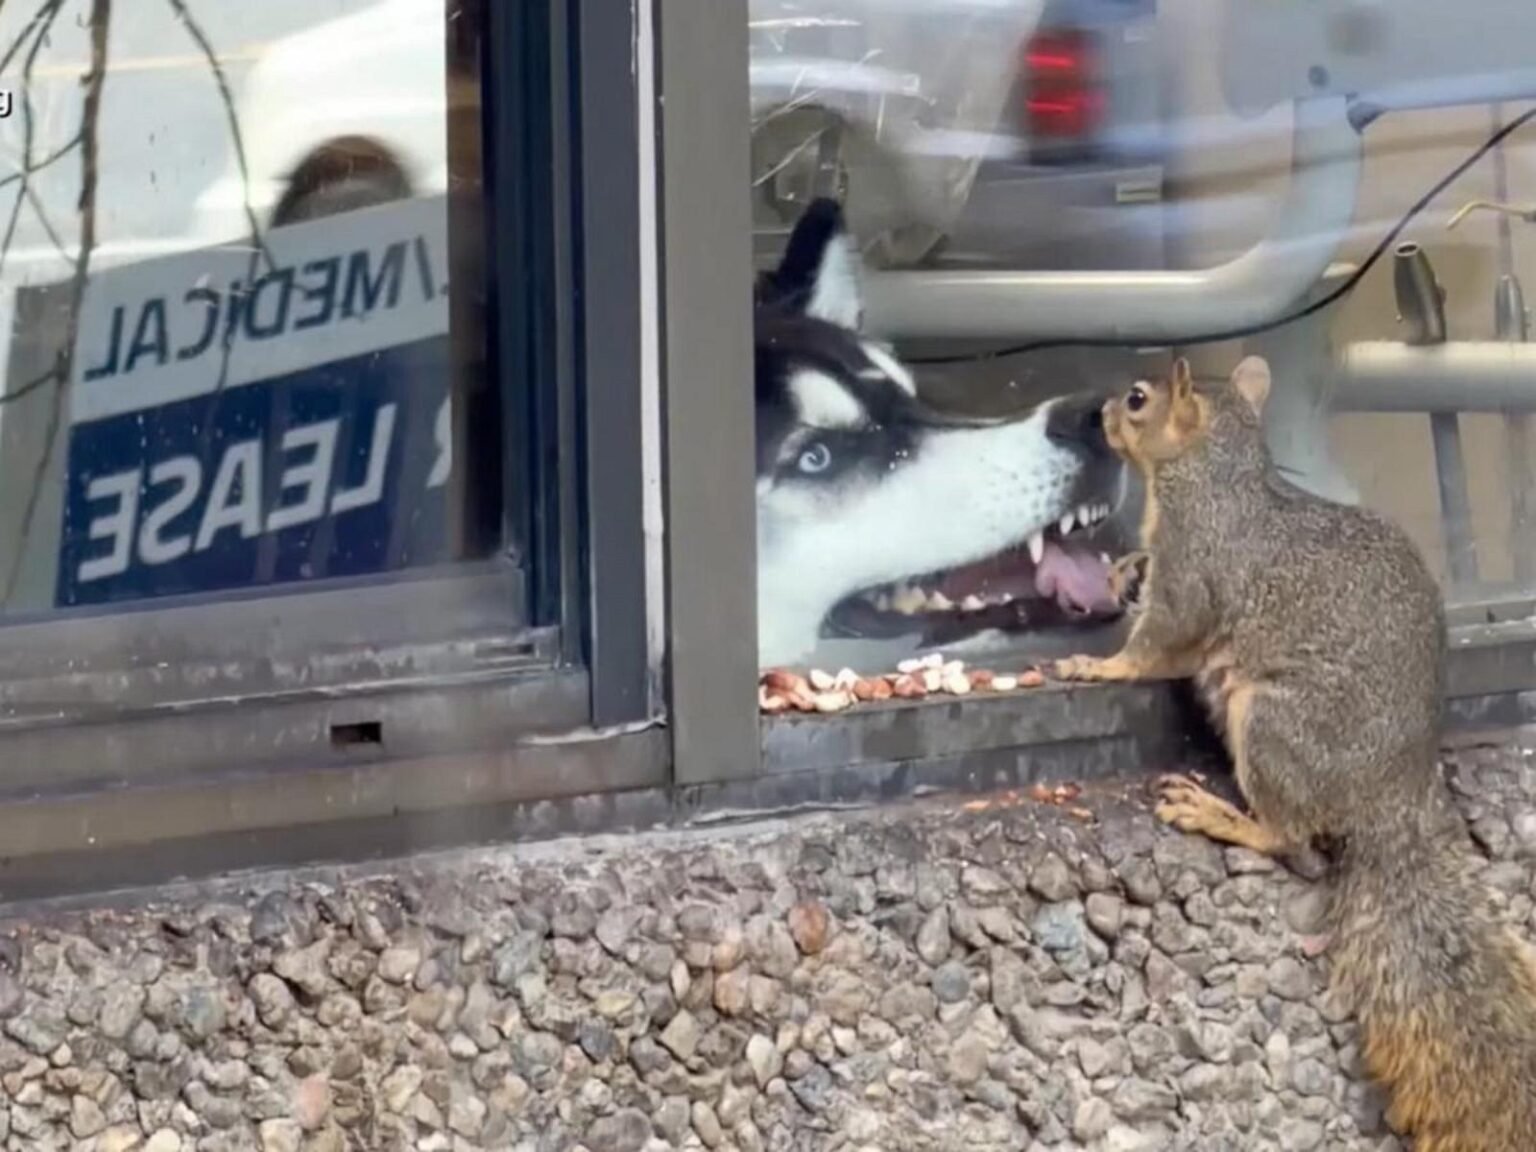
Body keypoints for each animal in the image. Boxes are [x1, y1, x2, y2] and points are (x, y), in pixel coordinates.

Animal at [1054, 354, 1536, 1150]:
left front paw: (1099, 667)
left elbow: (1162, 637)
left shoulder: (1196, 565)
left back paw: (1220, 814)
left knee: (1293, 840)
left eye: (1138, 399)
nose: (1098, 414)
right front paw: (1122, 572)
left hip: (1273, 725)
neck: (1215, 472)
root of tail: (1394, 803)